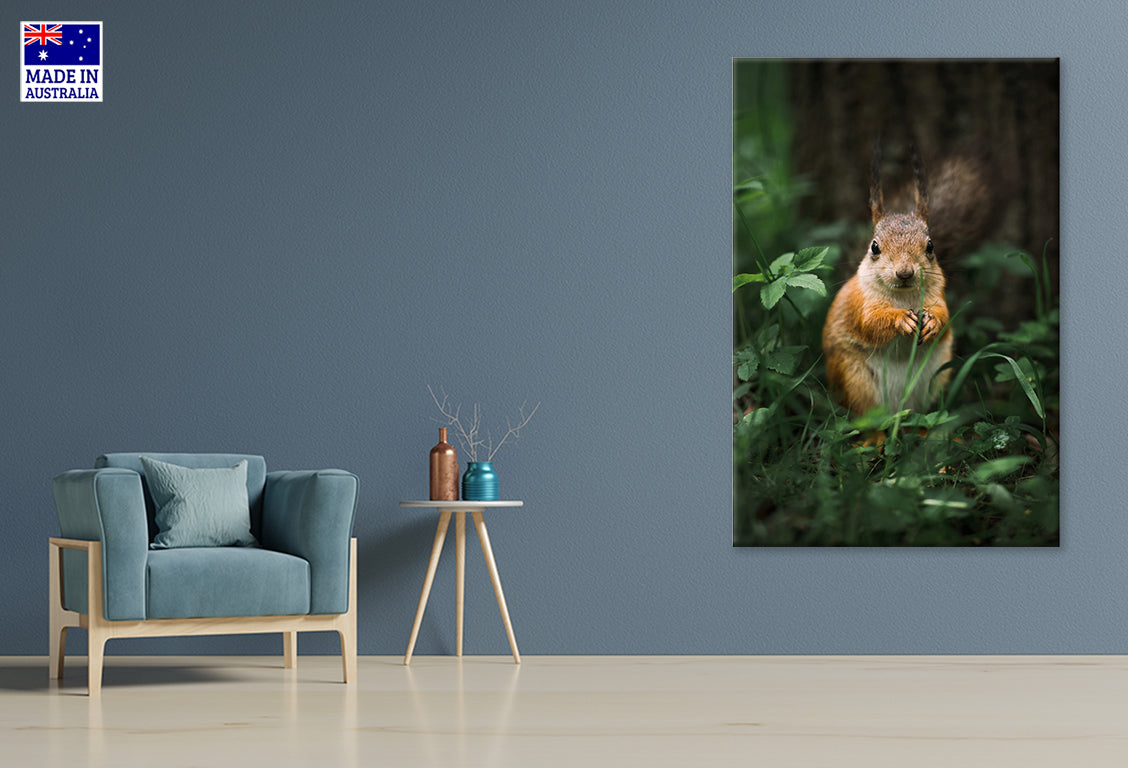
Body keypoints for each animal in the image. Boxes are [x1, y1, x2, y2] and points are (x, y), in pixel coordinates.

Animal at [822, 146, 954, 415]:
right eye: (874, 247)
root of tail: (898, 408)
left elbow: (944, 314)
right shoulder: (860, 302)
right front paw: (900, 320)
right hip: (853, 377)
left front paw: (933, 322)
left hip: (935, 377)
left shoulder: (938, 294)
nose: (904, 273)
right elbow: (870, 322)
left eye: (930, 246)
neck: (903, 296)